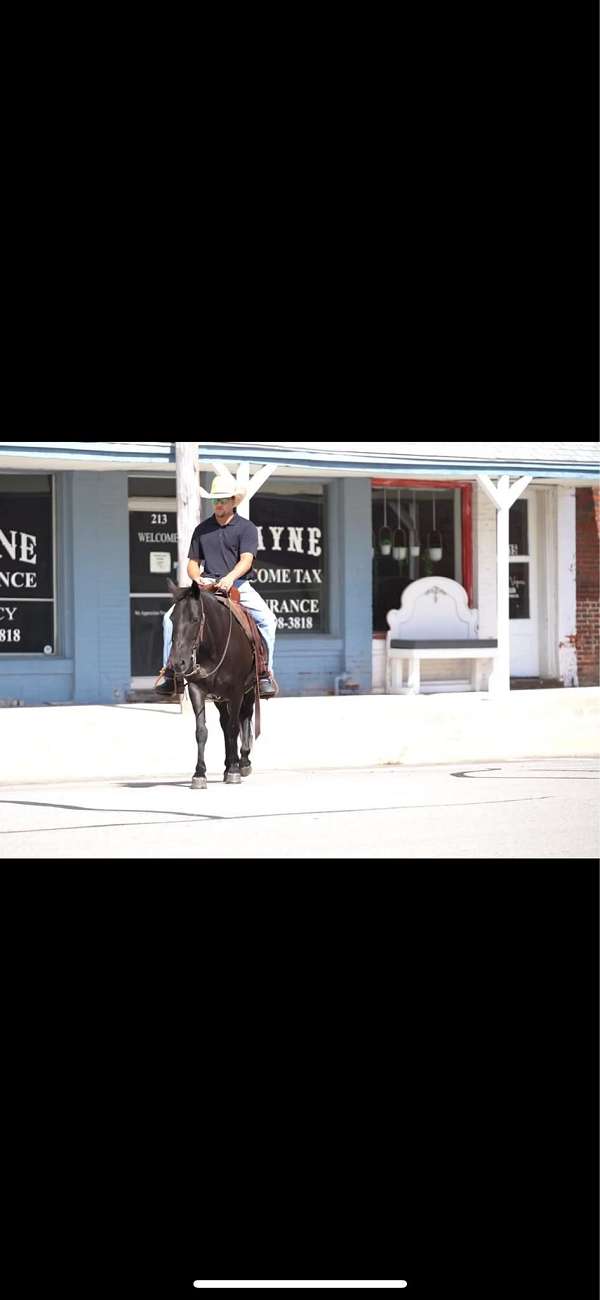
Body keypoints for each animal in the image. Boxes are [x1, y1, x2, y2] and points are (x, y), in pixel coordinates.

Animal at [166, 582, 258, 785]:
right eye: (172, 618)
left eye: (195, 619)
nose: (178, 662)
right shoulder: (196, 690)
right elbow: (201, 731)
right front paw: (199, 773)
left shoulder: (237, 691)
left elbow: (234, 728)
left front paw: (234, 770)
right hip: (219, 697)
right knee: (225, 722)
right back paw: (228, 764)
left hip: (248, 691)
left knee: (244, 716)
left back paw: (242, 762)